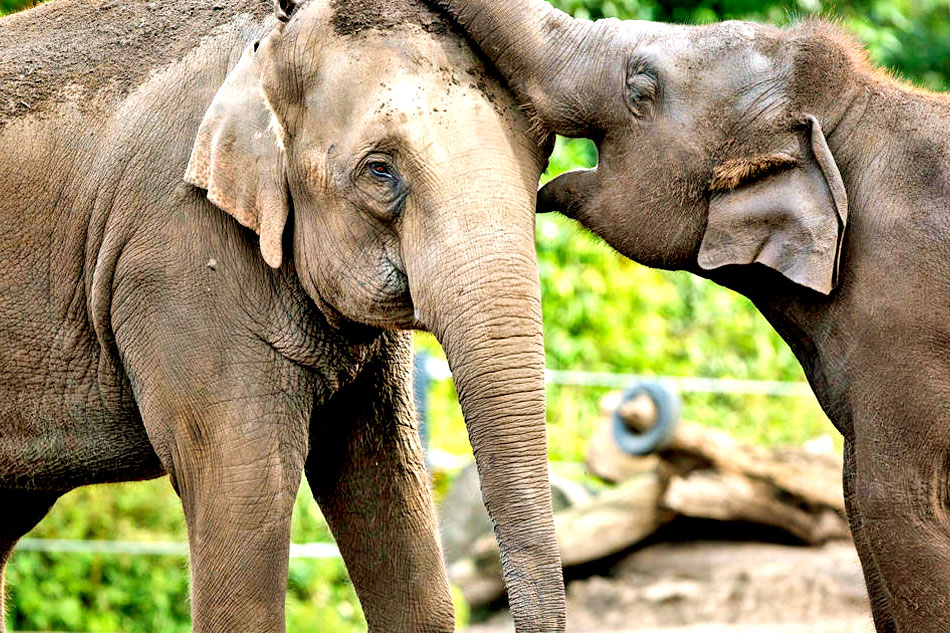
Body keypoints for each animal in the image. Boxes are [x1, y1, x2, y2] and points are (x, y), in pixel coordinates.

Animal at [0, 0, 564, 628]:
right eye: (380, 171)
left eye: (545, 152)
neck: (268, 43)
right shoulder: (179, 261)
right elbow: (242, 493)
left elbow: (382, 483)